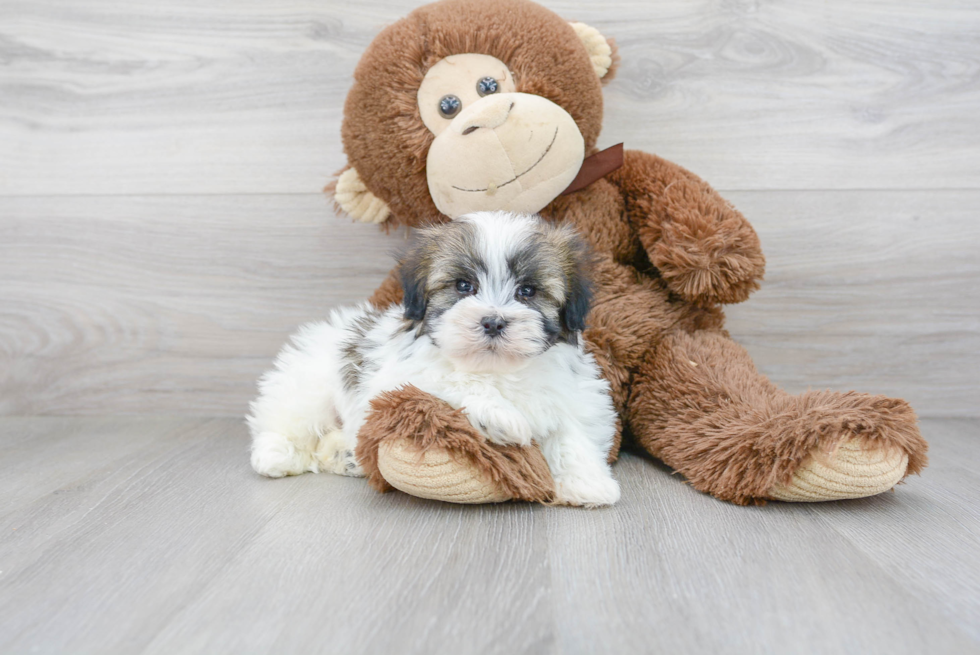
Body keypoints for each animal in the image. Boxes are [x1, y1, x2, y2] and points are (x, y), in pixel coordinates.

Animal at [249, 213, 616, 510]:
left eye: (527, 291)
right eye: (463, 286)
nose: (493, 322)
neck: (495, 369)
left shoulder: (572, 394)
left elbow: (573, 432)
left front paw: (588, 483)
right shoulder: (395, 381)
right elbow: (451, 382)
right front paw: (500, 416)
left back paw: (346, 457)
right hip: (307, 388)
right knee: (285, 422)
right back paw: (275, 455)